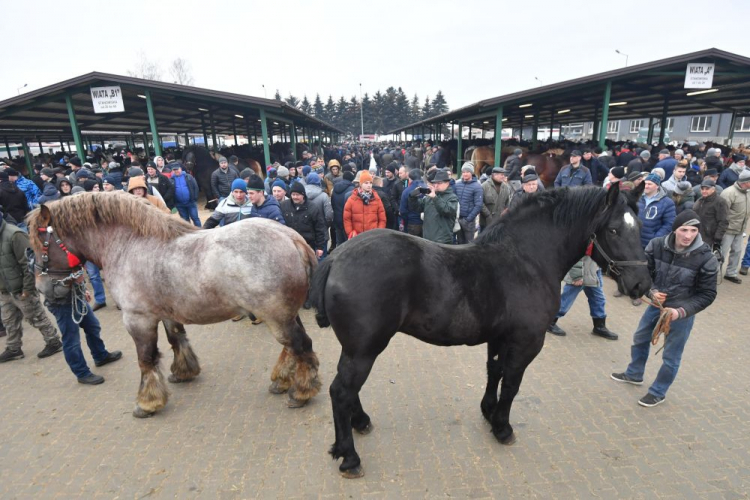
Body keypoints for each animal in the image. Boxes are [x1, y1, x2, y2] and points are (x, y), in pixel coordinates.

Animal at [28, 193, 324, 416]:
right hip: (284, 314)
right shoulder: (166, 313)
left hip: (276, 316)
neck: (129, 244)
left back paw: (301, 392)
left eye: (41, 245)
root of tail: (293, 239)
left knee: (301, 346)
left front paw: (147, 402)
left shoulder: (138, 319)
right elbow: (176, 339)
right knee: (291, 348)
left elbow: (146, 358)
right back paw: (283, 380)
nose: (42, 289)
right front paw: (183, 372)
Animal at [310, 183, 652, 476]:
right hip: (365, 349)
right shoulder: (527, 342)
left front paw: (488, 411)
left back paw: (361, 422)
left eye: (639, 227)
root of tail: (336, 257)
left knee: (347, 389)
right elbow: (511, 384)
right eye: (613, 229)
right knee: (341, 391)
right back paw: (349, 457)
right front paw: (502, 427)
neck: (526, 260)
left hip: (355, 348)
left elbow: (494, 372)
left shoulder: (500, 338)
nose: (641, 285)